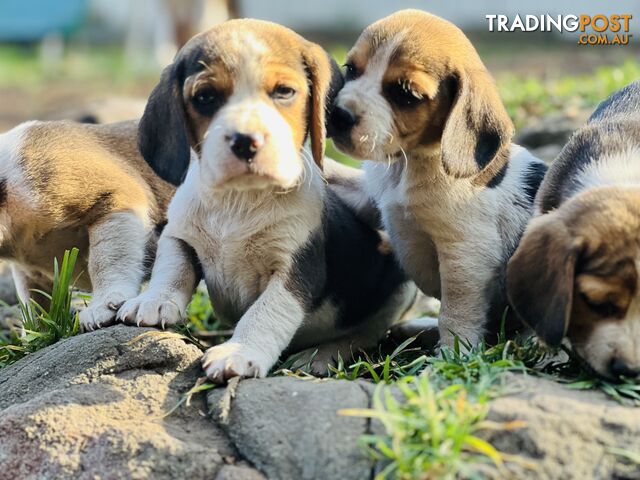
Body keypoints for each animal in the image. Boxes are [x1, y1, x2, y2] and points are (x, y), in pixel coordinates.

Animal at [117, 19, 418, 382]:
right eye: (205, 97)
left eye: (284, 92)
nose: (246, 141)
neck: (240, 199)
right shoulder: (180, 235)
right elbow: (171, 266)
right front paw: (154, 299)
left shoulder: (294, 270)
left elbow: (264, 313)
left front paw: (239, 351)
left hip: (399, 289)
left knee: (366, 334)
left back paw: (323, 354)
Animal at [328, 9, 548, 346]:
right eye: (351, 69)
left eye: (405, 94)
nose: (338, 115)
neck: (409, 165)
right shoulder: (371, 199)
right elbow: (341, 177)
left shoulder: (465, 255)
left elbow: (455, 313)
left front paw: (452, 352)